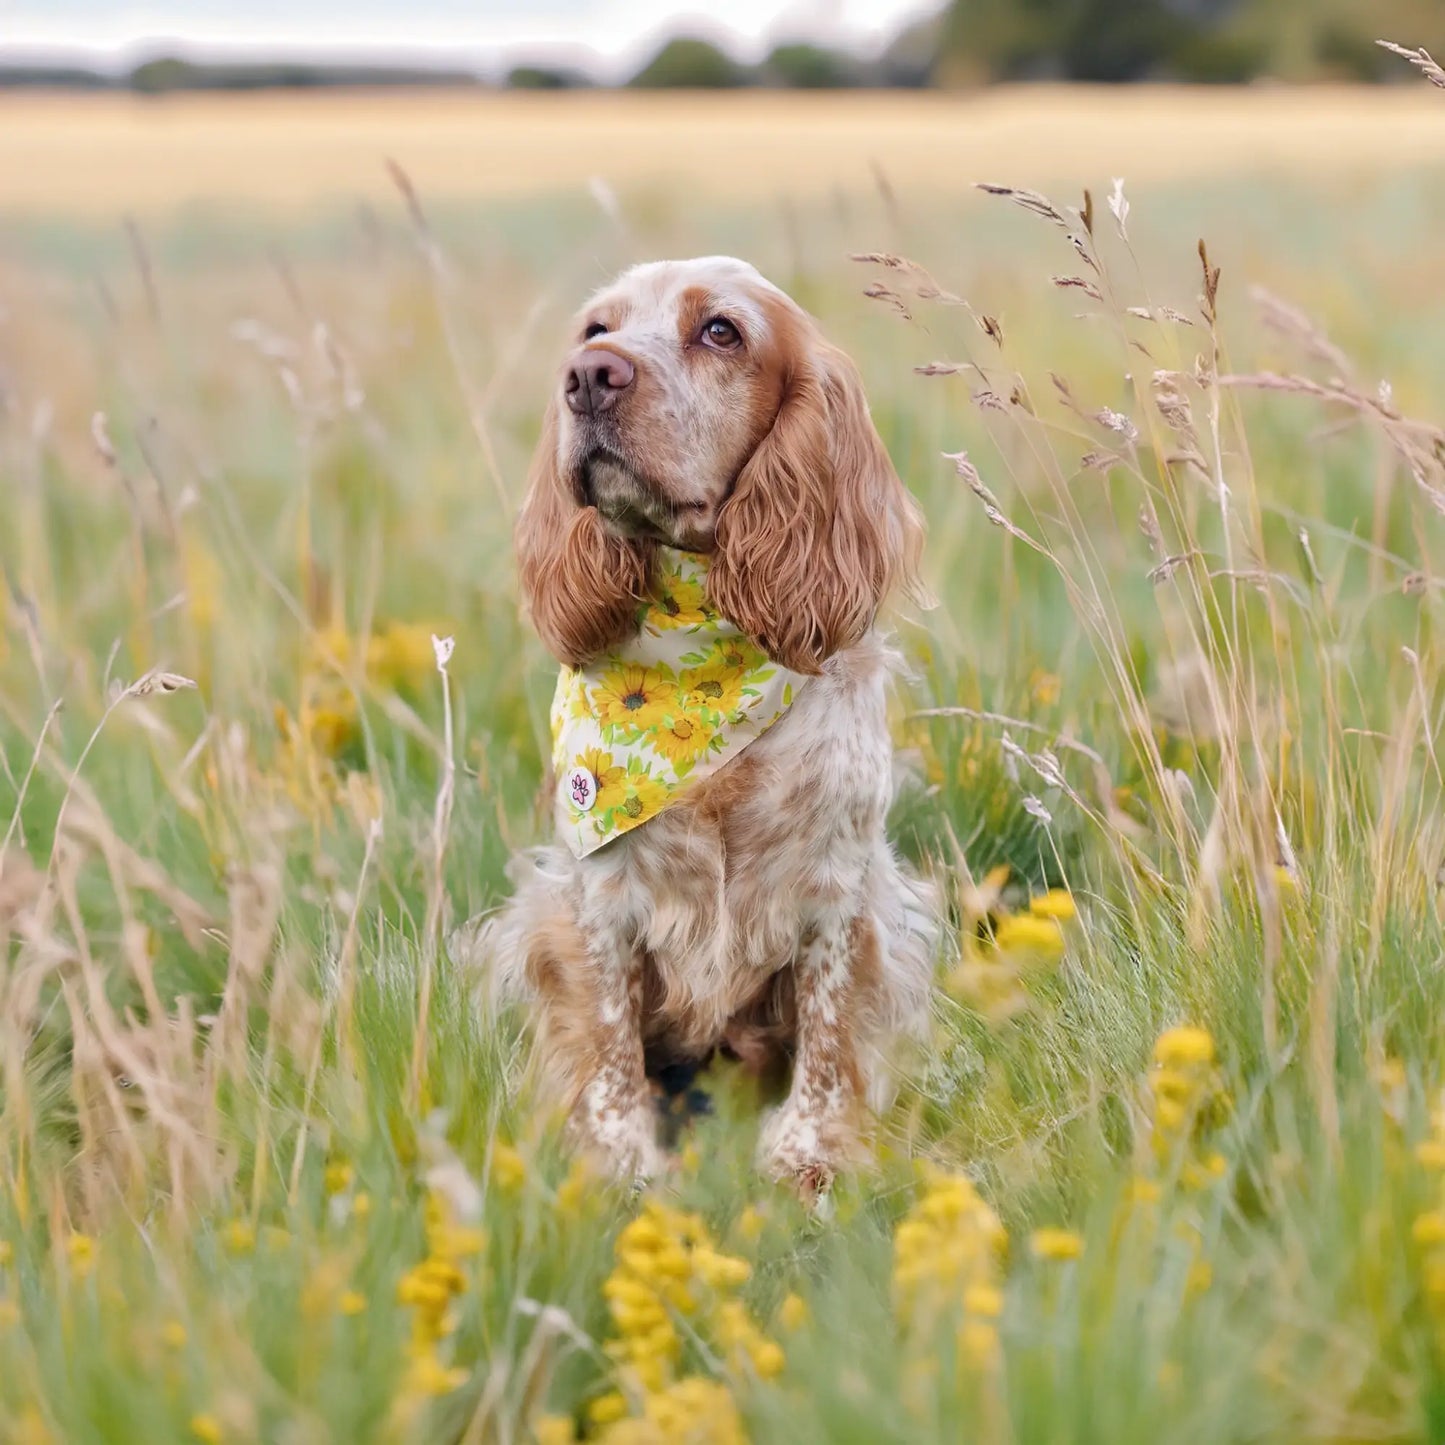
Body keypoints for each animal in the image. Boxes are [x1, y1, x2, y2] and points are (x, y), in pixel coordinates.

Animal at [479, 260, 942, 1196]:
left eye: (721, 331)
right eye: (595, 330)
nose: (590, 377)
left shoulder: (839, 890)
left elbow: (829, 1044)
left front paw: (806, 1160)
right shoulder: (596, 897)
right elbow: (610, 1050)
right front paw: (619, 1168)